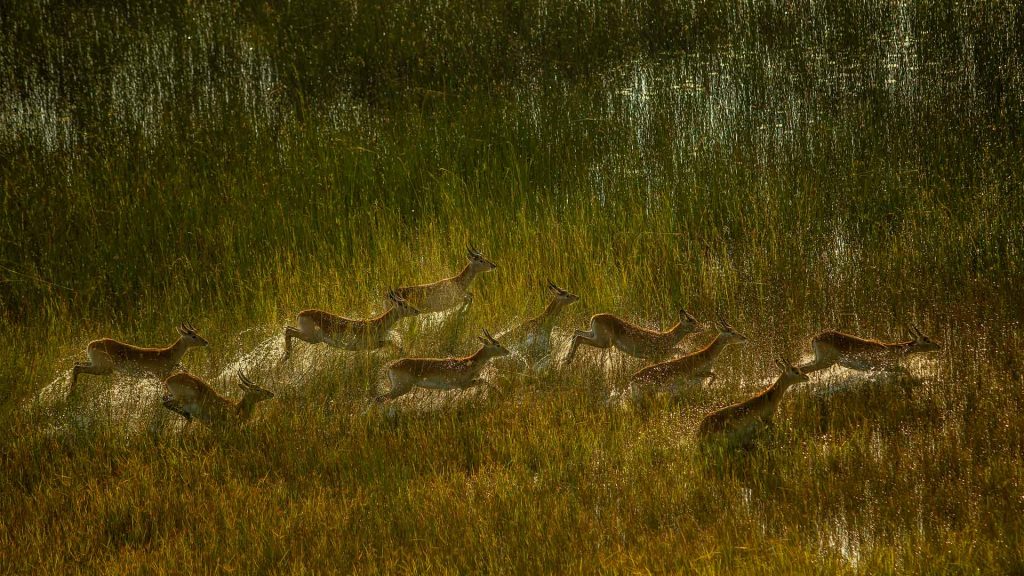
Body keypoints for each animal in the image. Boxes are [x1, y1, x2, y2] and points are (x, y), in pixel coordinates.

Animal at [70, 319, 207, 387]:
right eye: (193, 336)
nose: (206, 341)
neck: (168, 354)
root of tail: (91, 344)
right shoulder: (162, 375)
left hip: (95, 364)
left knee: (76, 364)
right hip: (104, 368)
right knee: (77, 368)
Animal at [284, 289, 419, 356]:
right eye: (404, 304)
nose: (417, 310)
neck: (377, 324)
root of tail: (300, 314)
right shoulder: (367, 344)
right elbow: (390, 342)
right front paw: (403, 353)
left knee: (288, 328)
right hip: (313, 337)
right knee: (288, 330)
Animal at [378, 327, 512, 399]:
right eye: (497, 344)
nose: (507, 351)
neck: (469, 363)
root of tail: (390, 367)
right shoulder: (463, 384)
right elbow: (484, 381)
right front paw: (500, 394)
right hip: (402, 387)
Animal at [561, 305, 704, 362]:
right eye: (692, 321)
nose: (702, 328)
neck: (666, 338)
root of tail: (594, 317)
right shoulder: (655, 356)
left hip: (595, 334)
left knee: (576, 332)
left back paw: (564, 358)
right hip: (605, 341)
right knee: (579, 337)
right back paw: (567, 360)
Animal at [798, 323, 942, 373]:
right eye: (926, 339)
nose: (939, 345)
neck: (890, 349)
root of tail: (815, 337)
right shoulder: (881, 367)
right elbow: (905, 371)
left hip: (818, 360)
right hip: (825, 362)